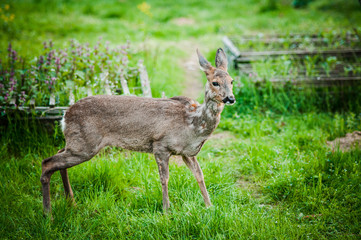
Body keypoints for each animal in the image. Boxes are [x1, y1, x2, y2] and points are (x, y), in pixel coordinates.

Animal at [40, 47, 235, 213]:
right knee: (47, 162)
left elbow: (200, 176)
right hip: (85, 144)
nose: (230, 98)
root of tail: (65, 116)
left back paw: (71, 202)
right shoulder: (161, 145)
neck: (193, 124)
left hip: (77, 142)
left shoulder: (187, 153)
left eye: (232, 81)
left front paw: (210, 206)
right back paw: (48, 214)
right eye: (215, 82)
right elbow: (164, 178)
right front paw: (166, 210)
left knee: (58, 156)